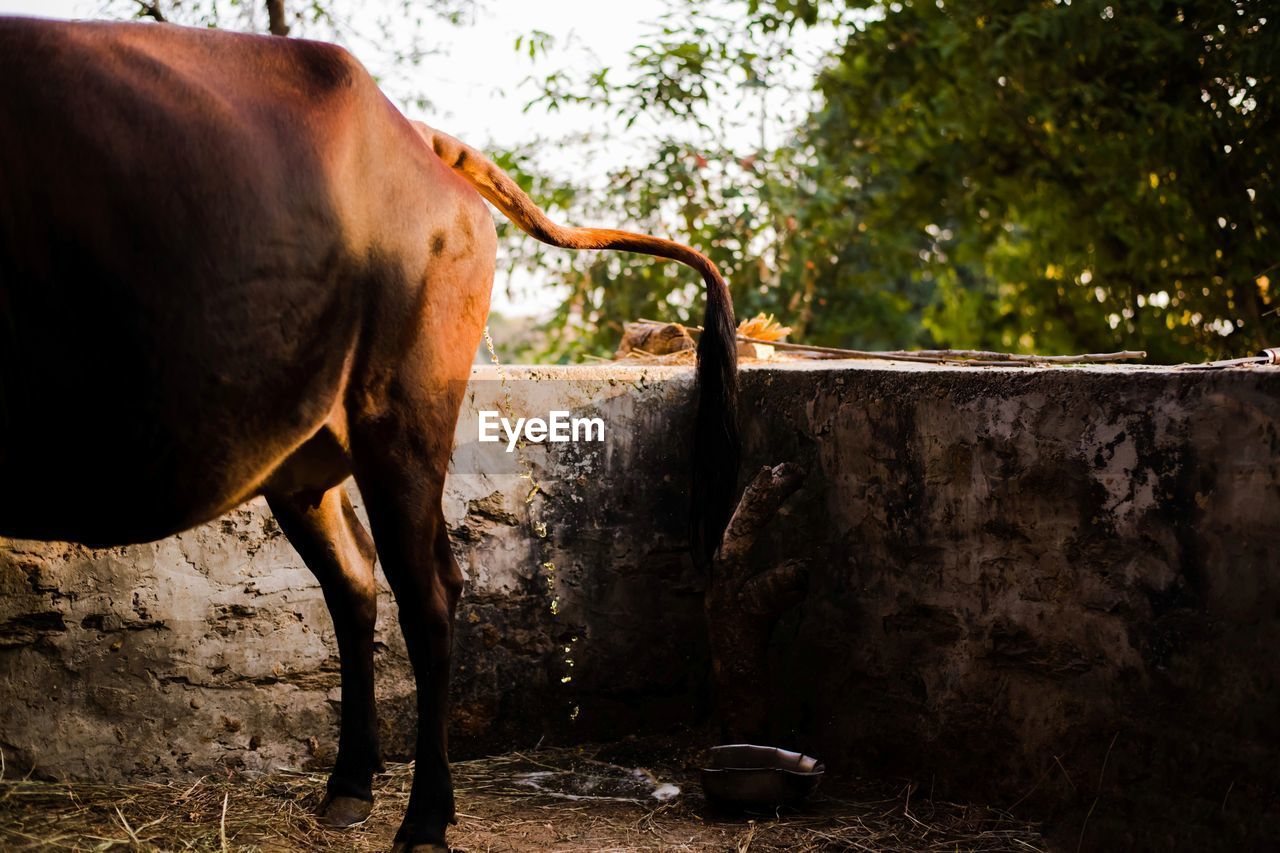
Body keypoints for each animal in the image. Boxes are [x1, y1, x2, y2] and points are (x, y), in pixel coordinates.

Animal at [0, 14, 742, 850]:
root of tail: (412, 132)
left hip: (405, 415)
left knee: (428, 595)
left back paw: (424, 817)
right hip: (301, 450)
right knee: (357, 577)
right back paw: (352, 782)